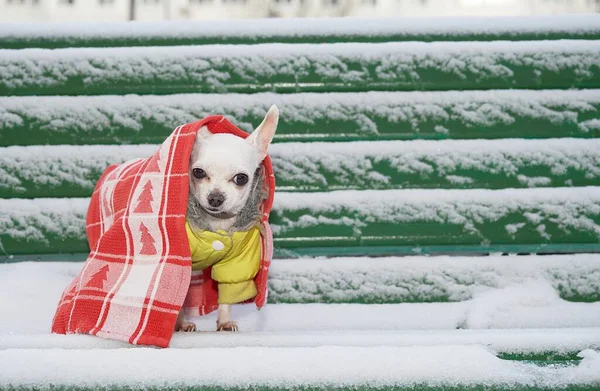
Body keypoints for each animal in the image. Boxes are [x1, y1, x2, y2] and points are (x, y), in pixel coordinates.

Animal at [175, 105, 280, 334]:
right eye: (198, 172)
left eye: (241, 178)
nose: (215, 198)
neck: (216, 223)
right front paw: (180, 323)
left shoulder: (235, 264)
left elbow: (227, 293)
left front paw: (224, 321)